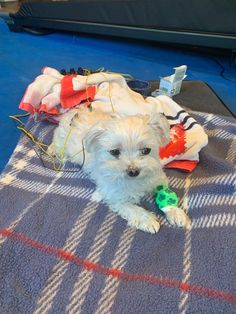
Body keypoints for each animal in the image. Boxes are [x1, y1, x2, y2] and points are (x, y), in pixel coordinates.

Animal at [48, 107, 191, 233]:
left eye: (146, 150)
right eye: (115, 152)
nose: (133, 171)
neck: (136, 181)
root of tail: (73, 112)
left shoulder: (157, 178)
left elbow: (166, 193)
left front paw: (175, 212)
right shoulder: (115, 196)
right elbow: (132, 208)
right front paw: (147, 220)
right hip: (62, 142)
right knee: (56, 143)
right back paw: (52, 150)